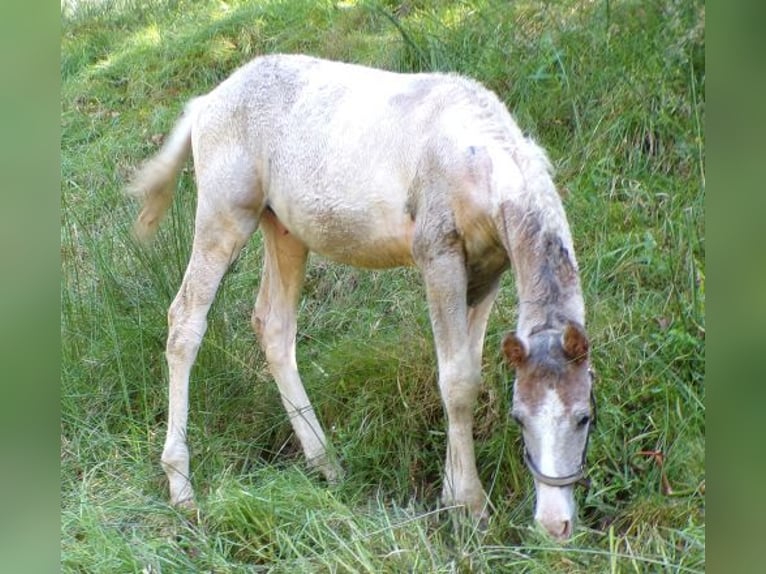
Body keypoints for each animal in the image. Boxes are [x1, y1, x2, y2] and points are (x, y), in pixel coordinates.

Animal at [129, 53, 596, 540]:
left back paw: (326, 463)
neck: (480, 159)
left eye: (584, 416)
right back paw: (182, 487)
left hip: (285, 231)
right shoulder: (439, 258)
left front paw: (452, 493)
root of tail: (208, 101)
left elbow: (468, 372)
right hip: (223, 217)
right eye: (519, 418)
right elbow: (456, 382)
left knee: (274, 326)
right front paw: (470, 507)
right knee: (185, 321)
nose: (555, 525)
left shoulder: (488, 273)